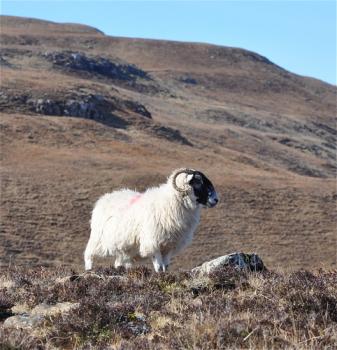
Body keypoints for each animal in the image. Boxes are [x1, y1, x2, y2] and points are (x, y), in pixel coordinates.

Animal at [82, 168, 217, 272]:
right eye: (198, 181)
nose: (216, 199)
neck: (170, 202)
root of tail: (104, 198)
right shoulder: (153, 243)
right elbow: (159, 268)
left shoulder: (169, 246)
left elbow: (166, 267)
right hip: (98, 240)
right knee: (89, 255)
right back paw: (89, 270)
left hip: (124, 249)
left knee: (118, 263)